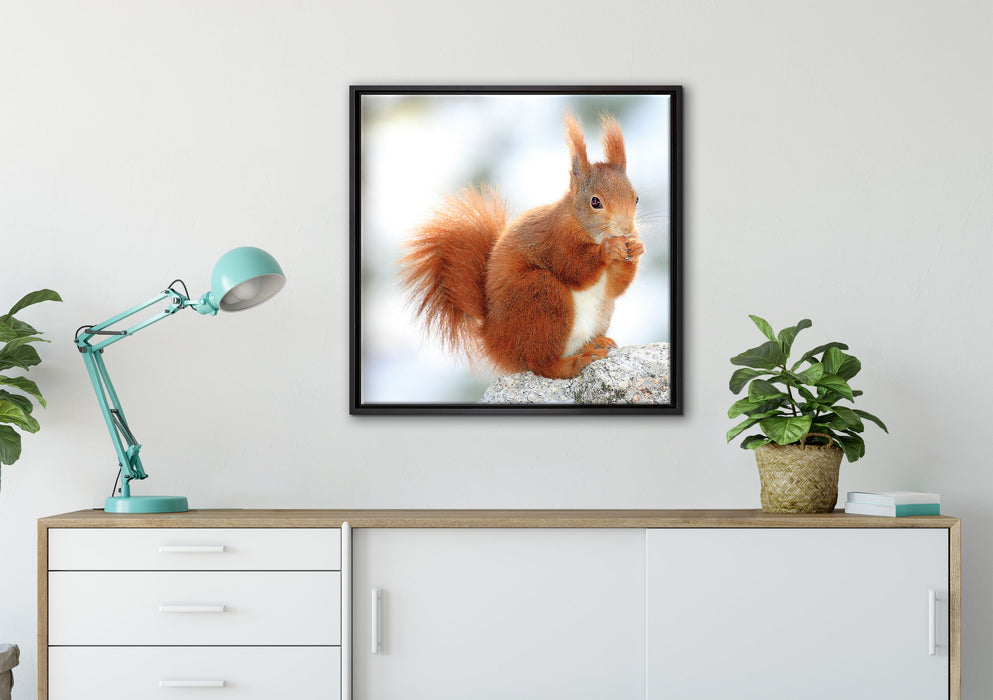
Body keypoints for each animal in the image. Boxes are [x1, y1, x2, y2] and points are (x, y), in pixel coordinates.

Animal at [399, 113, 644, 380]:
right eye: (595, 202)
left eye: (636, 198)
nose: (626, 229)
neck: (582, 225)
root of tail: (493, 340)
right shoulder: (557, 240)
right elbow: (575, 269)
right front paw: (608, 249)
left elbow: (614, 287)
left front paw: (637, 248)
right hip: (541, 296)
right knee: (543, 364)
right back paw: (576, 362)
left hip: (598, 311)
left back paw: (595, 343)